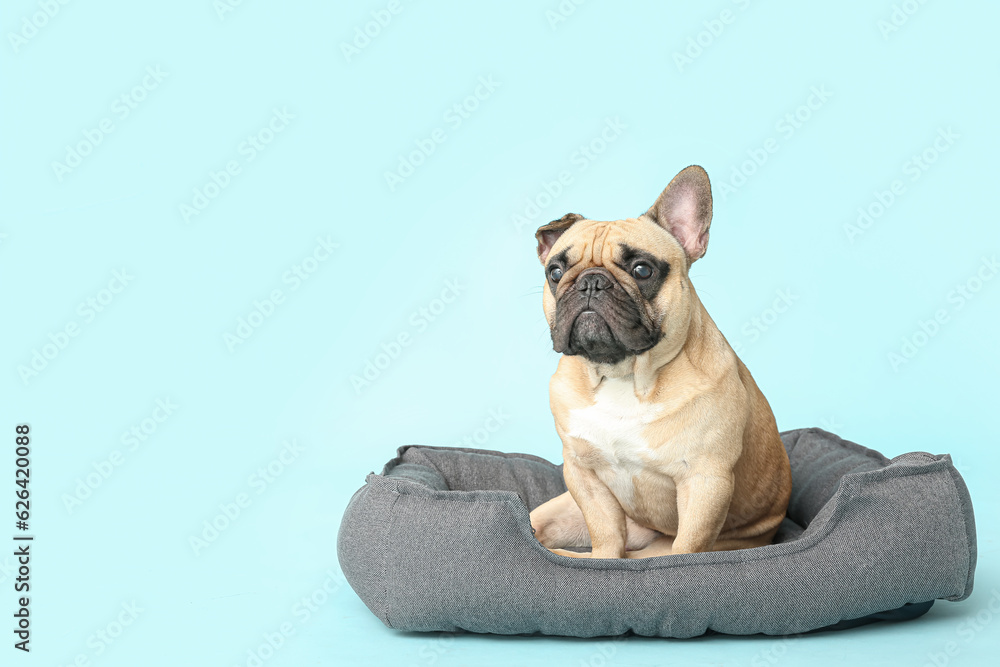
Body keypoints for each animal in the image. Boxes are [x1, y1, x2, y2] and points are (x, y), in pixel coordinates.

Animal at [528, 166, 792, 560]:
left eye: (642, 270)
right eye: (556, 272)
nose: (590, 282)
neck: (625, 376)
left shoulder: (705, 480)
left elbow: (688, 545)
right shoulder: (582, 473)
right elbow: (605, 530)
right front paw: (604, 561)